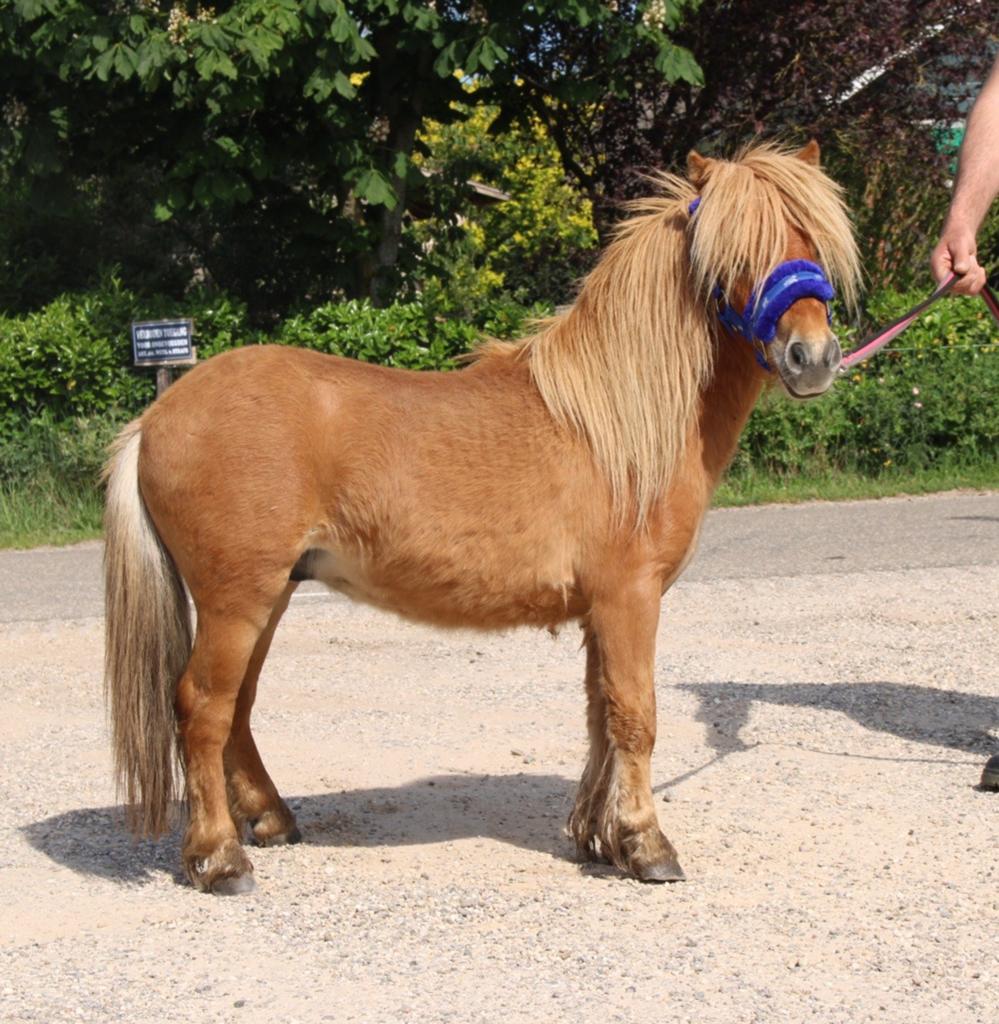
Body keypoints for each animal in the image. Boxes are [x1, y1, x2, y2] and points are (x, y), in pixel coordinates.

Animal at [103, 141, 860, 894]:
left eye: (813, 240)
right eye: (732, 253)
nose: (812, 357)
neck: (617, 420)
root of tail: (156, 418)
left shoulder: (599, 611)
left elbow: (599, 717)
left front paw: (598, 836)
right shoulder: (629, 599)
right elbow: (634, 715)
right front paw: (645, 844)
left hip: (268, 596)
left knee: (237, 707)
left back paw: (269, 820)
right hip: (237, 600)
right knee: (202, 708)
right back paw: (219, 857)